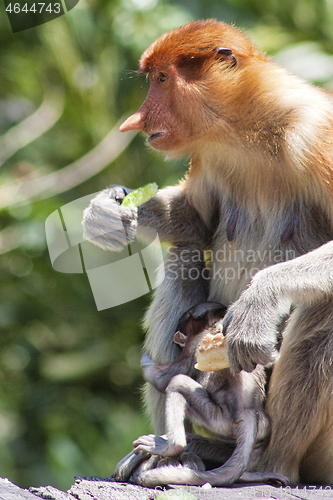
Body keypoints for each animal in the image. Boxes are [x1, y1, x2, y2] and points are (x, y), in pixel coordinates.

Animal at [127, 302, 288, 486]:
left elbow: (164, 378)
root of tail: (249, 408)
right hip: (260, 426)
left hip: (218, 418)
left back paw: (173, 445)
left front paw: (145, 361)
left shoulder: (192, 346)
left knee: (178, 382)